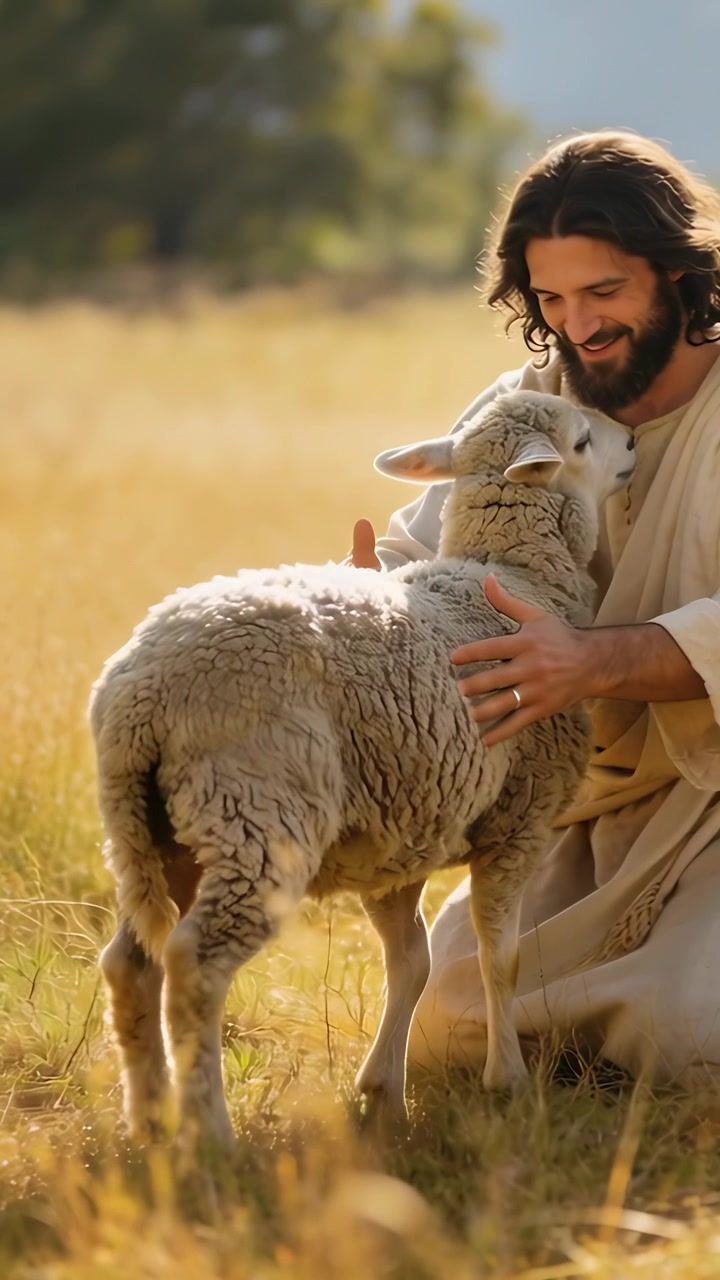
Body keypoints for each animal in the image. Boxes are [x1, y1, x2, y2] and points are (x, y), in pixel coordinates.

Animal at [93, 390, 634, 1147]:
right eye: (584, 440)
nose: (633, 442)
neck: (511, 577)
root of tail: (139, 694)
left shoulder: (404, 828)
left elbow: (411, 963)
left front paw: (383, 1094)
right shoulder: (518, 819)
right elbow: (501, 959)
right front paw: (507, 1082)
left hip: (153, 830)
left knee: (130, 963)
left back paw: (146, 1122)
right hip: (256, 811)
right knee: (195, 964)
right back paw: (212, 1136)